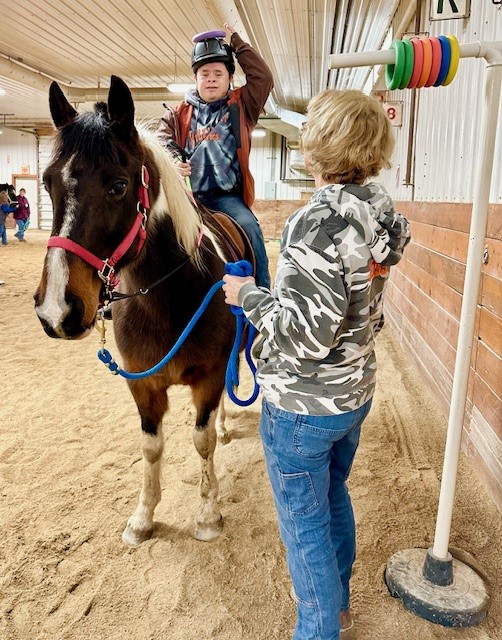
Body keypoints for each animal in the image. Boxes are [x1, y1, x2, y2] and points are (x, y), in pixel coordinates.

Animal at [34, 75, 254, 546]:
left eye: (118, 185)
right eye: (47, 183)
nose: (56, 310)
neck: (166, 299)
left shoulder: (208, 378)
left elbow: (202, 439)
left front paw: (207, 514)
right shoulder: (142, 385)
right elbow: (151, 447)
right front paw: (142, 517)